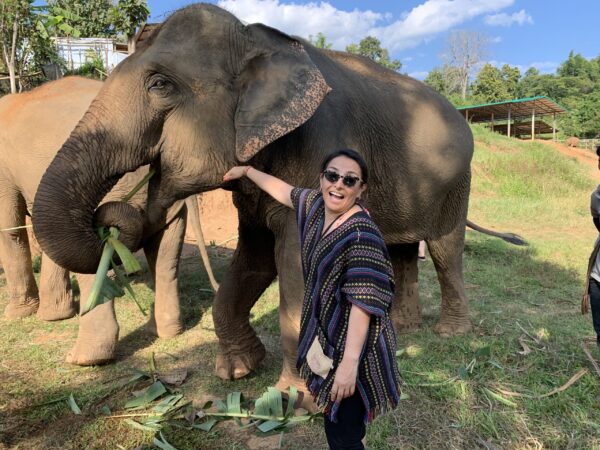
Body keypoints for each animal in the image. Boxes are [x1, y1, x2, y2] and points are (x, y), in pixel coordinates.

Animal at [0, 76, 216, 366]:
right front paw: (54, 316)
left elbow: (10, 231)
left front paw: (16, 315)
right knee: (165, 253)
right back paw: (163, 332)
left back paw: (83, 358)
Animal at [31, 3, 520, 388]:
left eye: (160, 85)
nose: (109, 222)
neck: (254, 38)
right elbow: (255, 259)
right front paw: (237, 371)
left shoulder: (315, 150)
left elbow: (295, 262)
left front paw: (294, 397)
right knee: (400, 249)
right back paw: (403, 328)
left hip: (456, 187)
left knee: (444, 250)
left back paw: (449, 333)